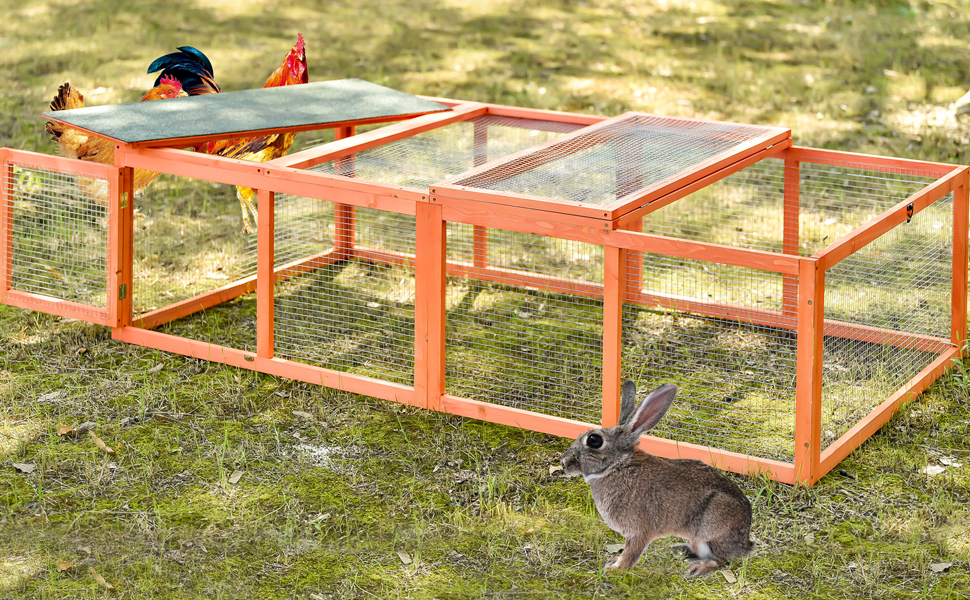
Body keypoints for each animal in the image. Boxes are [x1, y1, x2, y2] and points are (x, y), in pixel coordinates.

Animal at [560, 381, 752, 577]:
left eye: (594, 440)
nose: (564, 462)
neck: (617, 465)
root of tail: (745, 543)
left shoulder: (639, 531)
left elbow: (631, 553)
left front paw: (615, 570)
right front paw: (613, 562)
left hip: (710, 531)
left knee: (722, 559)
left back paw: (698, 568)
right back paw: (680, 550)